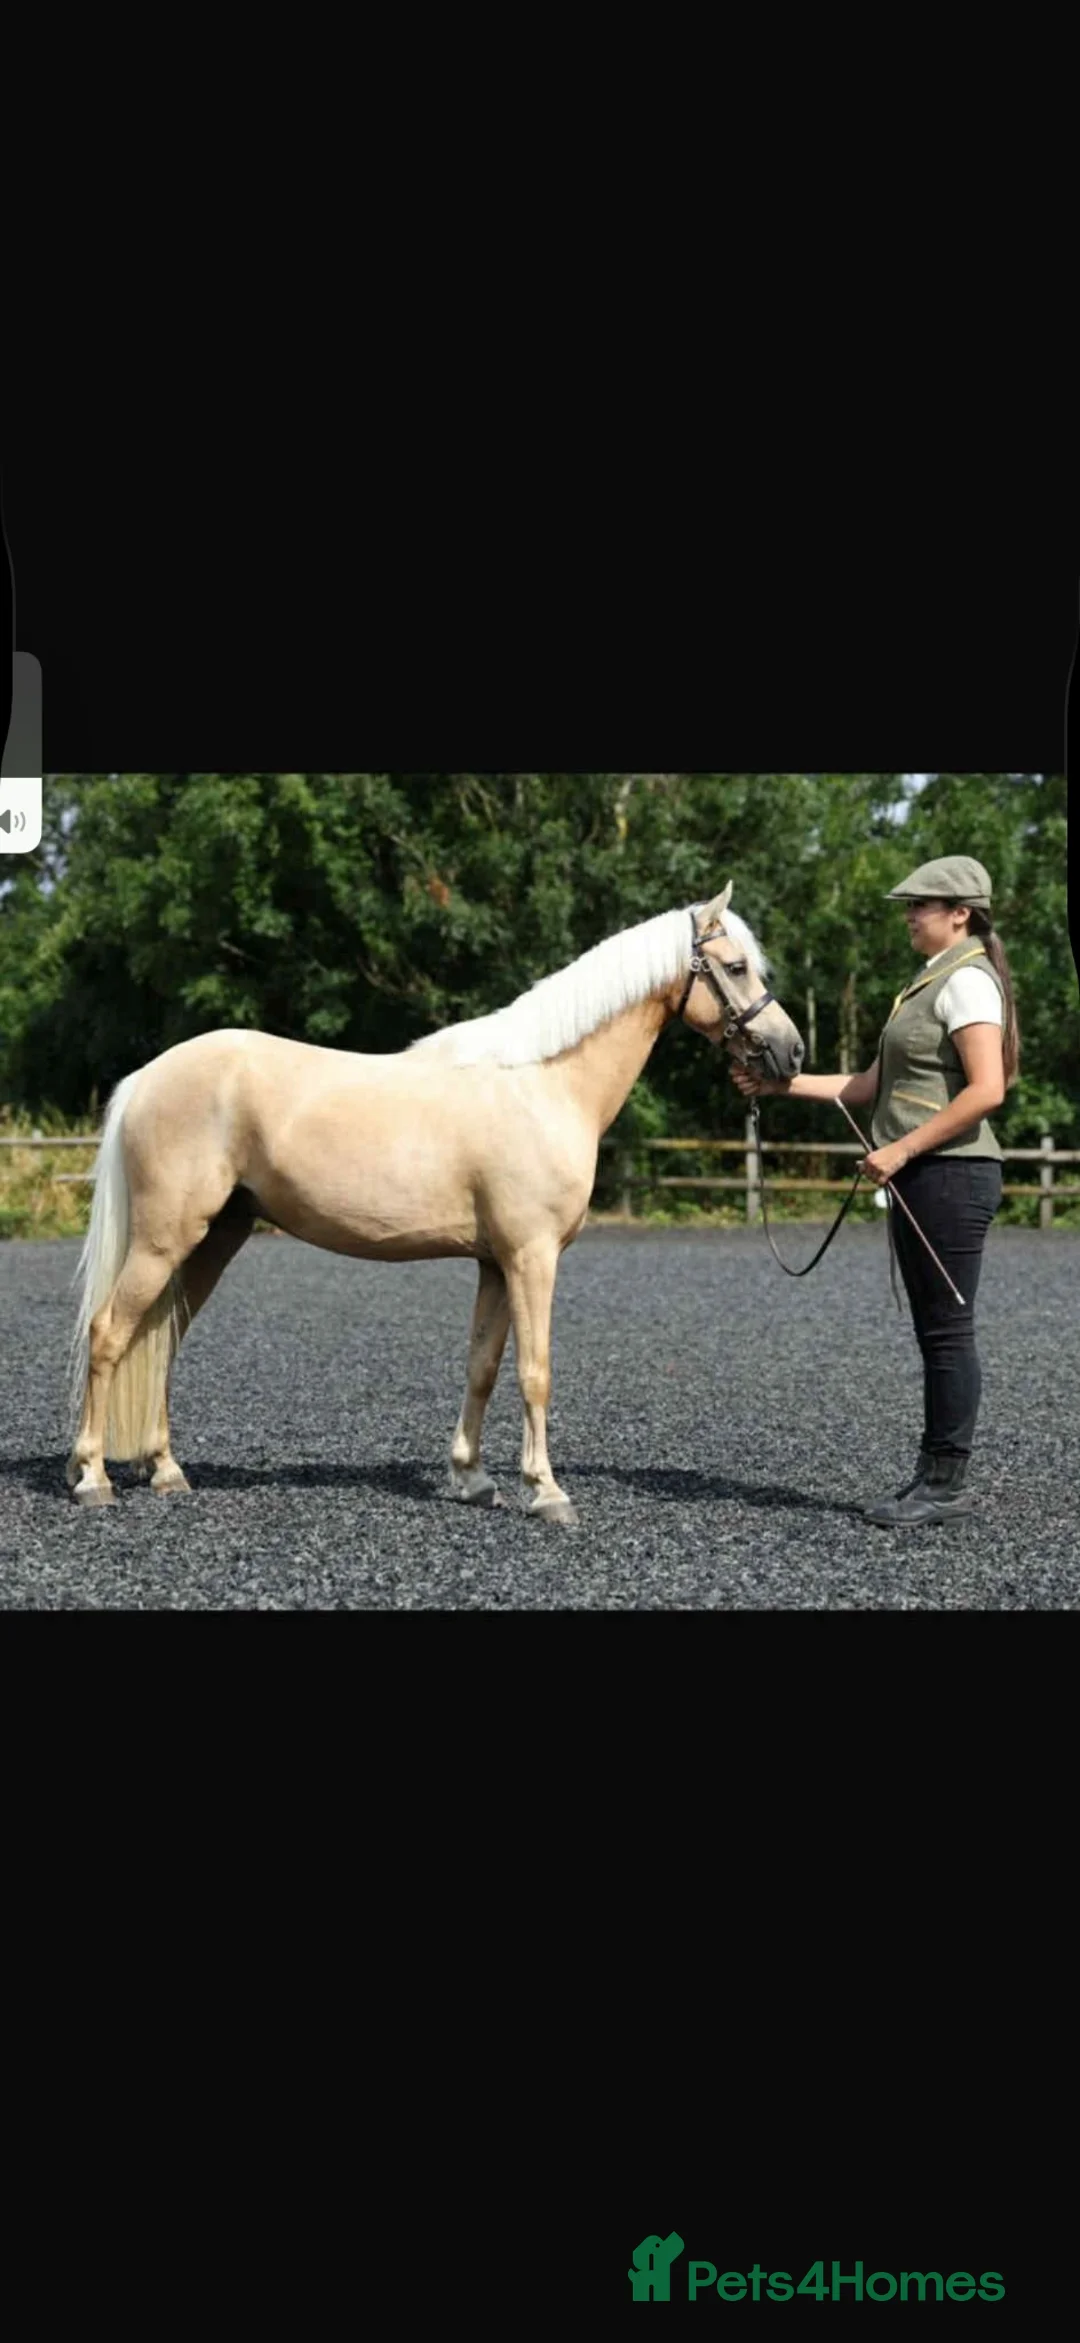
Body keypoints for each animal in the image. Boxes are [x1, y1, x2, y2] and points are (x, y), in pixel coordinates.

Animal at [67, 882, 804, 1522]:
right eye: (735, 966)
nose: (790, 1052)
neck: (543, 1083)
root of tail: (147, 1077)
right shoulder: (532, 1257)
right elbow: (535, 1371)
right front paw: (548, 1492)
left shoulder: (496, 1263)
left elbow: (483, 1366)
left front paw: (473, 1478)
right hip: (165, 1239)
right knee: (109, 1333)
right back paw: (94, 1477)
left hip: (215, 1237)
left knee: (161, 1340)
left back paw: (166, 1470)